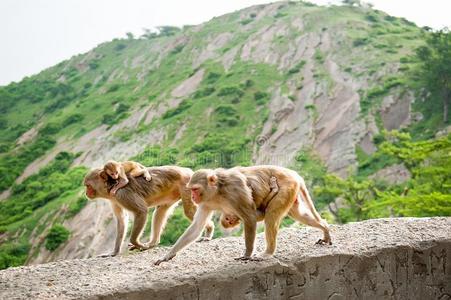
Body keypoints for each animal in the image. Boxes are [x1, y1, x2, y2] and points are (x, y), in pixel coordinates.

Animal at [83, 165, 215, 256]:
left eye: (88, 186)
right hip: (172, 193)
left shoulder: (122, 194)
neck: (111, 184)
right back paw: (153, 243)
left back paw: (209, 230)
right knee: (160, 211)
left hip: (186, 185)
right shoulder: (114, 199)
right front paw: (114, 252)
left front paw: (136, 243)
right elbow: (121, 220)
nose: (86, 193)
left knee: (189, 211)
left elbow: (141, 211)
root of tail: (187, 170)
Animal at [155, 164, 332, 264]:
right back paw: (325, 229)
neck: (217, 191)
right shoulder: (206, 202)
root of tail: (294, 174)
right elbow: (196, 227)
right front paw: (168, 255)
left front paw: (247, 254)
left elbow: (250, 218)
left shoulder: (235, 191)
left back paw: (268, 252)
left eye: (195, 189)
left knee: (271, 216)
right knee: (298, 215)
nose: (192, 197)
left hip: (287, 187)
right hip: (292, 193)